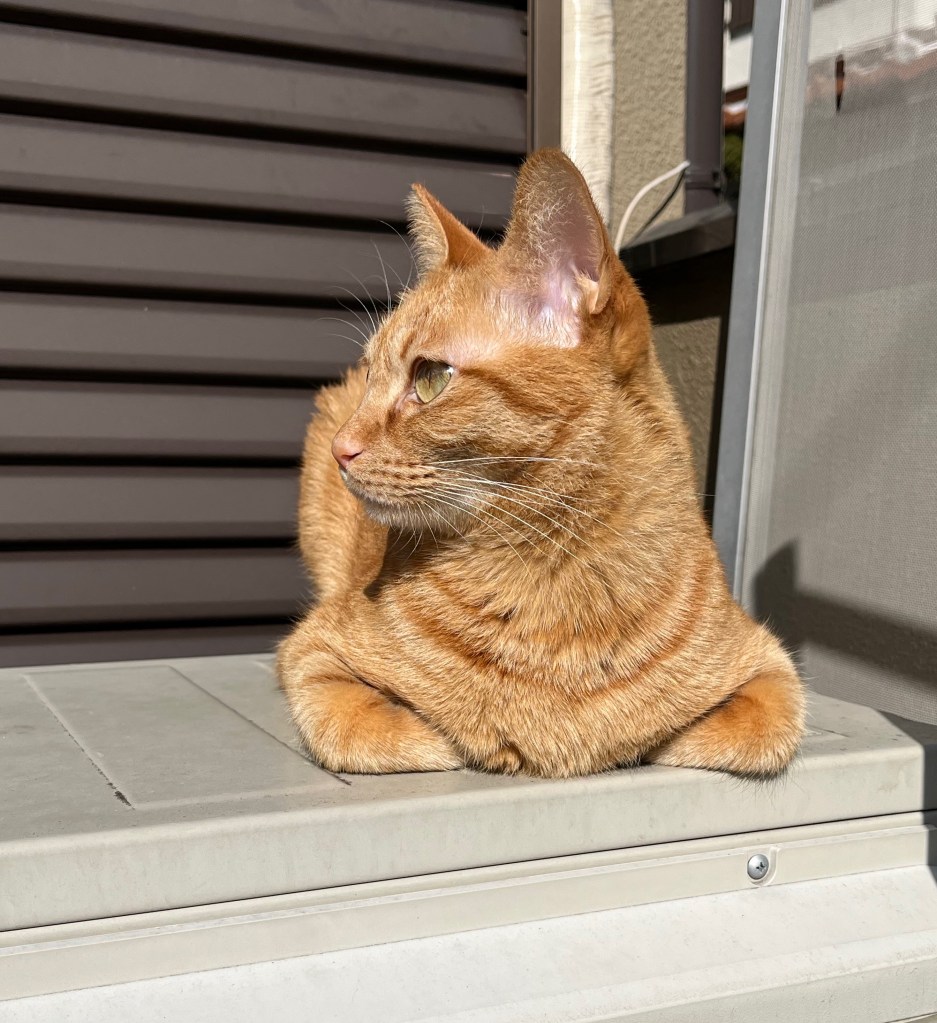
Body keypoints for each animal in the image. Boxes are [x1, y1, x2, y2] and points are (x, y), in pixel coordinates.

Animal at [277, 149, 805, 778]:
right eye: (370, 376)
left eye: (430, 378)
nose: (342, 448)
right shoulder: (312, 652)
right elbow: (391, 734)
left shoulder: (771, 671)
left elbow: (727, 733)